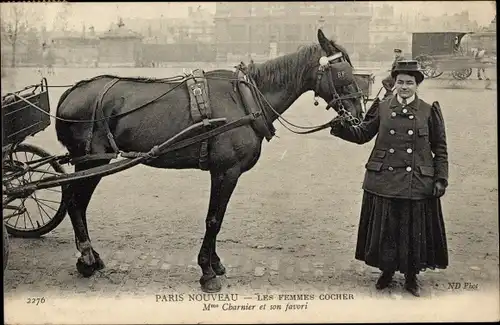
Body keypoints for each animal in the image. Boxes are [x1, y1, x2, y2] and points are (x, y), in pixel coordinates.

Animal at [55, 29, 364, 292]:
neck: (244, 99)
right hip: (92, 162)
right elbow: (214, 219)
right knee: (75, 203)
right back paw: (87, 259)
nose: (358, 114)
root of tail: (73, 90)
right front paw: (207, 272)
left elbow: (219, 217)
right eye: (343, 73)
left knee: (76, 202)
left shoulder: (226, 173)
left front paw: (214, 263)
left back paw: (91, 256)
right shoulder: (226, 171)